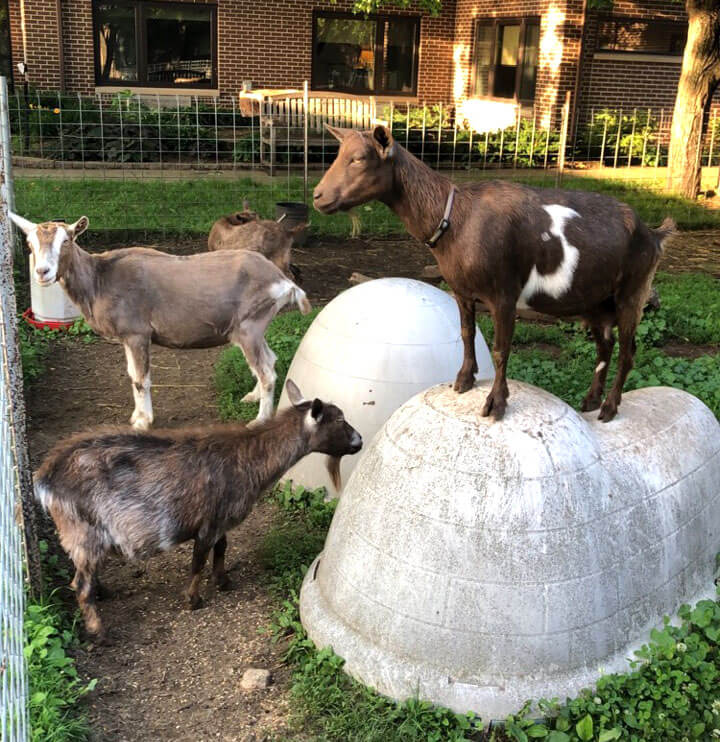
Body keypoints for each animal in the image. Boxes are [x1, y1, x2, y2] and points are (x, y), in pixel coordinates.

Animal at [10, 212, 310, 428]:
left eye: (67, 240)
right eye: (30, 244)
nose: (43, 272)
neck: (99, 278)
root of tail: (284, 282)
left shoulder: (137, 333)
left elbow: (141, 379)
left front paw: (143, 422)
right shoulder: (127, 337)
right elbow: (132, 374)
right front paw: (137, 416)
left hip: (250, 327)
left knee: (267, 371)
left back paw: (260, 419)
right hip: (252, 329)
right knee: (270, 360)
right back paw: (253, 397)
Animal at [34, 380, 362, 644]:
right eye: (340, 420)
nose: (358, 441)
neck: (249, 458)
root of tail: (45, 477)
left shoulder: (221, 520)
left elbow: (222, 548)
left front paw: (224, 581)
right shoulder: (208, 523)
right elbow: (198, 561)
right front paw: (193, 600)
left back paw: (105, 593)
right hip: (81, 529)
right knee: (80, 585)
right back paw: (100, 633)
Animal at [314, 125, 676, 422]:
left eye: (359, 159)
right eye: (339, 154)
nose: (318, 196)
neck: (455, 218)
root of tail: (653, 234)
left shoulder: (504, 294)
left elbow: (502, 350)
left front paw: (496, 403)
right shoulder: (462, 291)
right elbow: (466, 334)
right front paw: (463, 380)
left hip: (633, 292)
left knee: (628, 352)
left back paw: (609, 408)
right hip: (596, 302)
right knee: (606, 347)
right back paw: (589, 401)